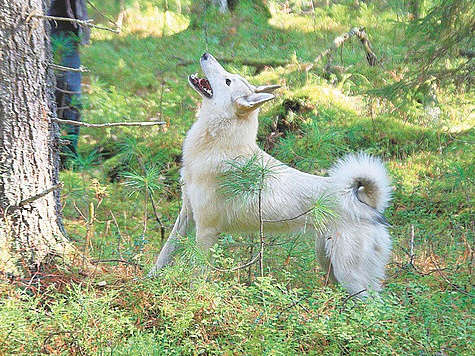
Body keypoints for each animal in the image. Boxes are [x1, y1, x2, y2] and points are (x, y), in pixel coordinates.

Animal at [151, 52, 392, 296]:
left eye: (228, 81)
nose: (206, 54)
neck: (217, 144)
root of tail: (369, 207)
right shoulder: (186, 214)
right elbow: (165, 252)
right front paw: (149, 279)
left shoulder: (206, 230)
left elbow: (196, 271)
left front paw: (192, 296)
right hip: (329, 264)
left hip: (350, 277)